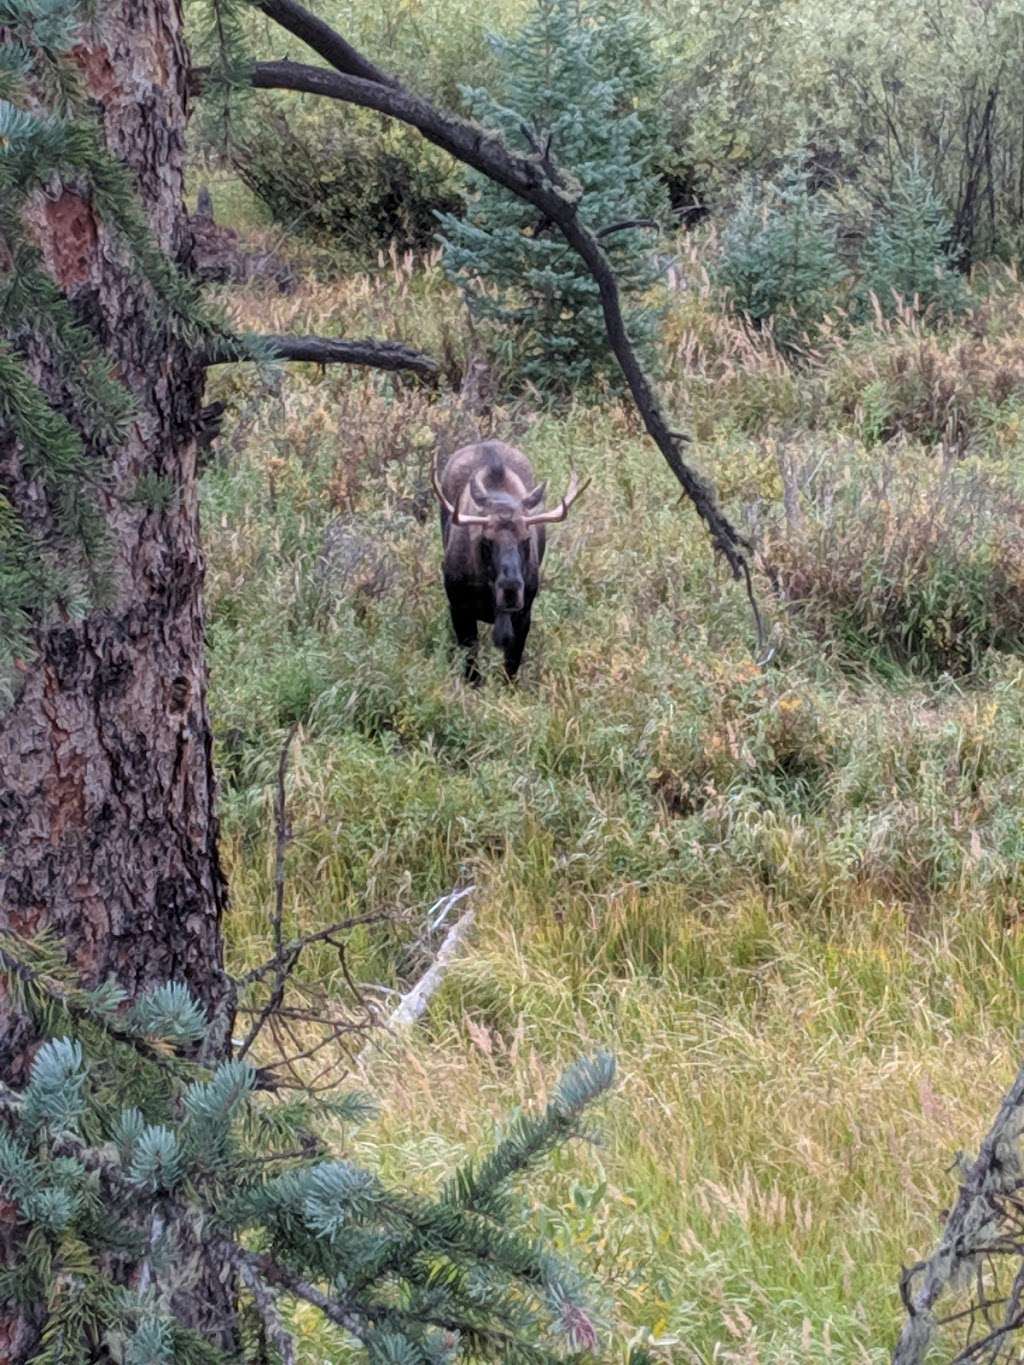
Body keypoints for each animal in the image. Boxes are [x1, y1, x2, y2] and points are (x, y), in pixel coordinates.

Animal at [434, 439, 589, 682]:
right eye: (486, 541)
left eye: (526, 539)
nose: (510, 589)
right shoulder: (458, 608)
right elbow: (471, 667)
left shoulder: (524, 613)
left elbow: (511, 667)